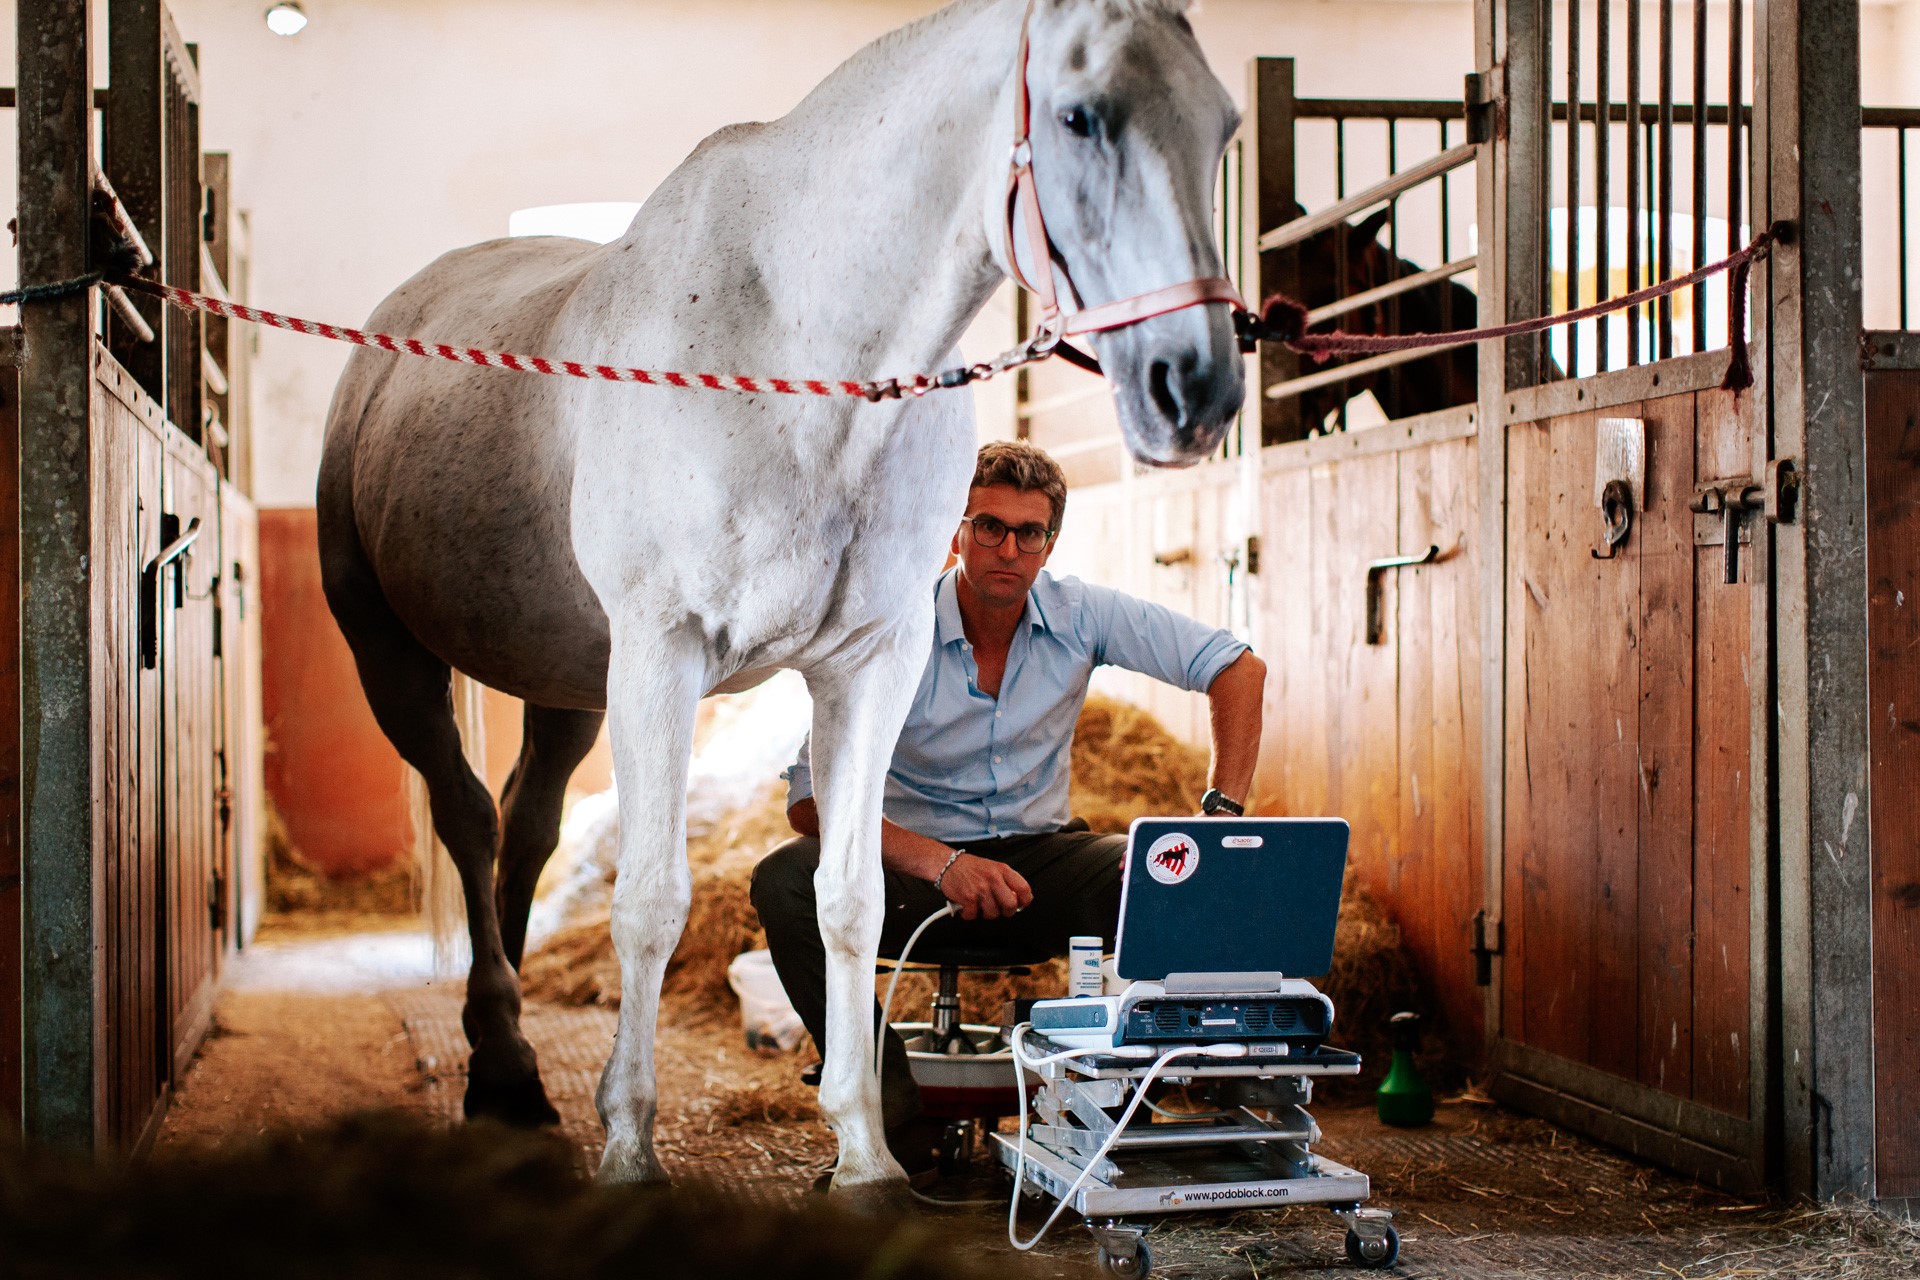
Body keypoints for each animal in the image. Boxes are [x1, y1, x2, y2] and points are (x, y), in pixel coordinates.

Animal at [314, 0, 1244, 1197]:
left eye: (1222, 127)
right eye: (1082, 116)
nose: (1198, 386)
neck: (796, 353)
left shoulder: (868, 663)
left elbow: (851, 899)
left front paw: (865, 1152)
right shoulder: (661, 653)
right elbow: (649, 902)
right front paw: (630, 1143)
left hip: (569, 684)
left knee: (523, 829)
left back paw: (503, 1069)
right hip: (394, 655)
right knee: (471, 822)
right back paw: (507, 1070)